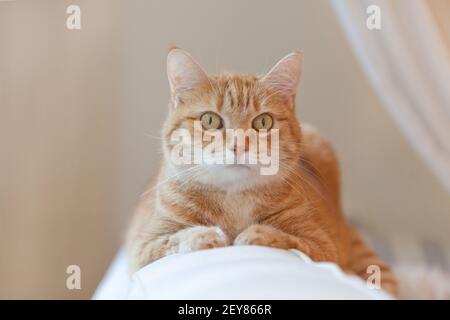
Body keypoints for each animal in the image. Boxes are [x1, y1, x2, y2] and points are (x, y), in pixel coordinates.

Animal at [126, 47, 398, 296]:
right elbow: (174, 239)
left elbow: (290, 239)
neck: (234, 201)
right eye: (210, 120)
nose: (238, 145)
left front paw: (255, 234)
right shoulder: (141, 247)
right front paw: (205, 235)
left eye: (263, 122)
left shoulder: (323, 245)